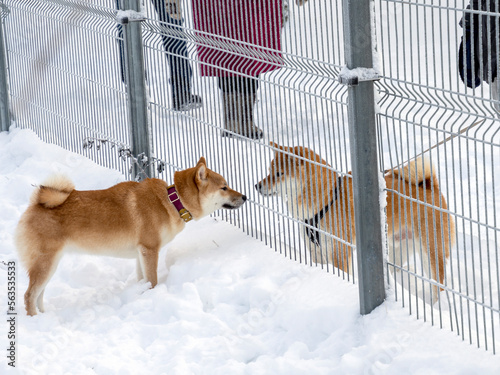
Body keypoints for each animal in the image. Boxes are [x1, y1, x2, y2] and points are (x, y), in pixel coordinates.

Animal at [16, 157, 247, 316]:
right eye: (224, 187)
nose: (245, 196)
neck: (172, 201)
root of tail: (36, 204)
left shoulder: (140, 254)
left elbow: (142, 279)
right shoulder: (150, 250)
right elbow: (153, 280)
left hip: (50, 265)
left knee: (39, 295)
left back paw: (44, 316)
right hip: (45, 264)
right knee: (29, 296)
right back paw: (35, 319)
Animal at [256, 142, 456, 302]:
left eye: (279, 174)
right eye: (269, 172)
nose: (257, 185)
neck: (326, 200)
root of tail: (430, 186)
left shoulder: (339, 253)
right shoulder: (316, 252)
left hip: (431, 254)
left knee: (438, 285)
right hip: (397, 252)